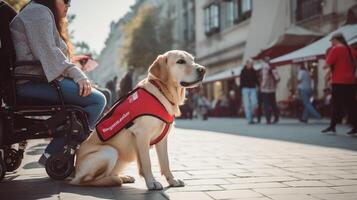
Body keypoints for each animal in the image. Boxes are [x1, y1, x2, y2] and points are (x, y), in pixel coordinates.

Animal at [70, 50, 203, 191]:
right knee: (87, 181)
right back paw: (112, 181)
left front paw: (172, 181)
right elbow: (147, 162)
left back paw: (122, 177)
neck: (162, 92)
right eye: (180, 61)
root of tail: (74, 172)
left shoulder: (162, 139)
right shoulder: (142, 135)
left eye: (193, 60)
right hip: (109, 151)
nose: (203, 70)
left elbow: (165, 162)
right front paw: (152, 182)